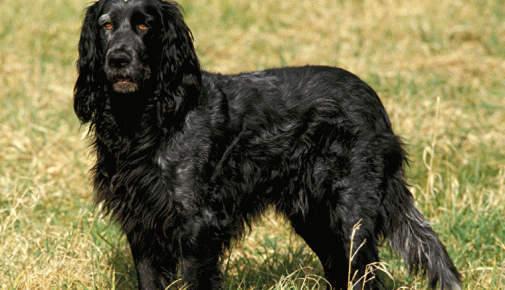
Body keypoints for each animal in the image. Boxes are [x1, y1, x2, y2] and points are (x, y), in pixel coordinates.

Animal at [74, 0, 460, 290]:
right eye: (107, 25)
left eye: (144, 26)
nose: (118, 59)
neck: (146, 120)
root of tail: (373, 101)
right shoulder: (141, 226)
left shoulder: (197, 227)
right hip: (314, 216)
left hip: (350, 216)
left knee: (366, 276)